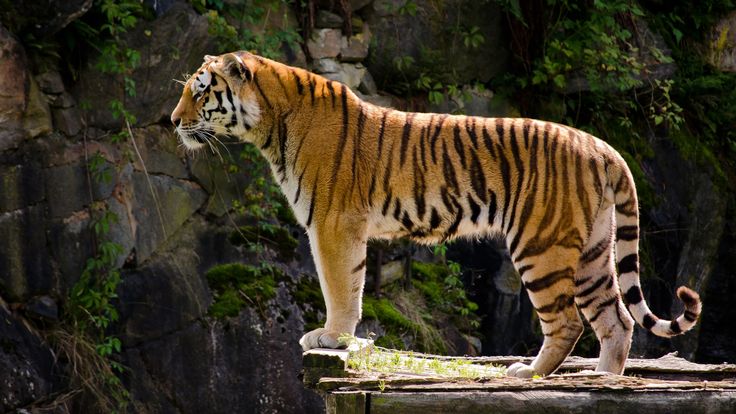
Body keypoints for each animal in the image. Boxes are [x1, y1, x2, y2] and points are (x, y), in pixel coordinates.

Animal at [171, 51, 700, 378]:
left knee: (569, 321)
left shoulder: (333, 224)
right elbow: (352, 283)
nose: (173, 121)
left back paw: (529, 373)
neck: (270, 124)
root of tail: (602, 147)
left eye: (200, 92)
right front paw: (339, 336)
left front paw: (331, 337)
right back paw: (604, 379)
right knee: (618, 320)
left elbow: (339, 285)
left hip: (541, 245)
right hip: (592, 249)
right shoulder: (341, 226)